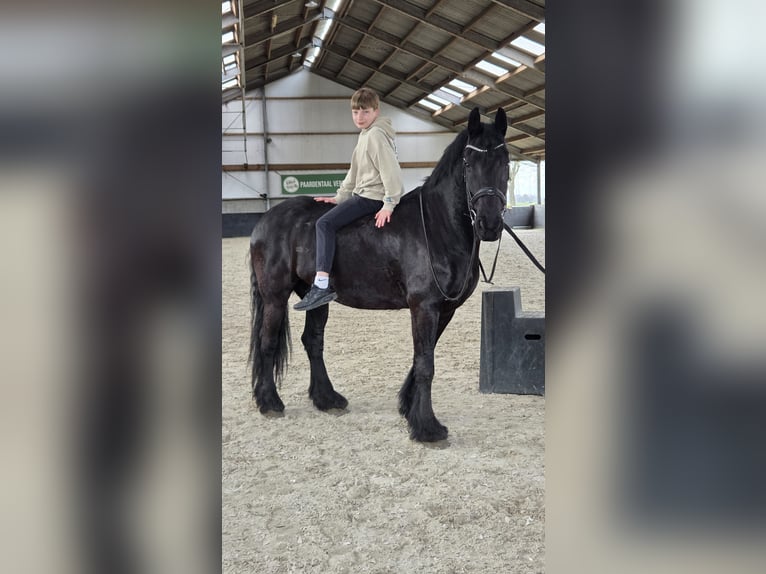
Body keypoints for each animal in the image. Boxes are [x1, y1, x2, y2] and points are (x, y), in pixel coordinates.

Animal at [248, 107, 509, 442]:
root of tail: (266, 220)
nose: (489, 224)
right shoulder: (424, 307)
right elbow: (426, 364)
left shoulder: (445, 309)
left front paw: (409, 408)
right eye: (468, 162)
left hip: (313, 298)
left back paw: (327, 399)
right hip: (275, 296)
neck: (437, 225)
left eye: (505, 161)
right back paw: (269, 402)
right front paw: (427, 427)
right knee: (268, 341)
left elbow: (423, 357)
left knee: (313, 341)